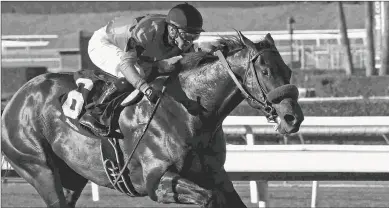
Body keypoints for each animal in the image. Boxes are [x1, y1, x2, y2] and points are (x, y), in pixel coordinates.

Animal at [1, 31, 304, 207]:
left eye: (288, 70)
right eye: (265, 71)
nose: (293, 118)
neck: (191, 113)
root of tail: (17, 98)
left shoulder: (216, 176)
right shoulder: (158, 181)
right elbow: (208, 199)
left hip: (72, 177)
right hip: (39, 167)